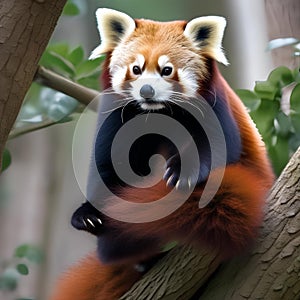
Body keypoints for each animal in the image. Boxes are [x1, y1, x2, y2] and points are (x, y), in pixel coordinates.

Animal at [50, 8, 276, 298]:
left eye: (167, 70)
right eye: (136, 69)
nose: (147, 91)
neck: (156, 112)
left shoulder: (213, 107)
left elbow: (218, 147)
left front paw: (182, 171)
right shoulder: (120, 117)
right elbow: (112, 165)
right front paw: (89, 214)